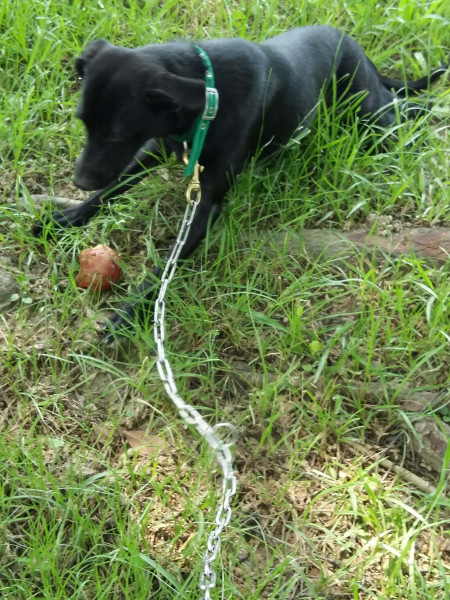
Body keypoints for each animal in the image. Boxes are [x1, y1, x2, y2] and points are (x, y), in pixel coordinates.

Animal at [34, 25, 446, 340]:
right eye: (83, 122)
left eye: (115, 134)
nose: (79, 180)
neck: (205, 94)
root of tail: (354, 43)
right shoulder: (159, 147)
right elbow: (113, 187)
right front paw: (68, 218)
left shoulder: (204, 203)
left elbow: (162, 270)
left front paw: (128, 312)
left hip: (370, 114)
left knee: (403, 111)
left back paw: (429, 114)